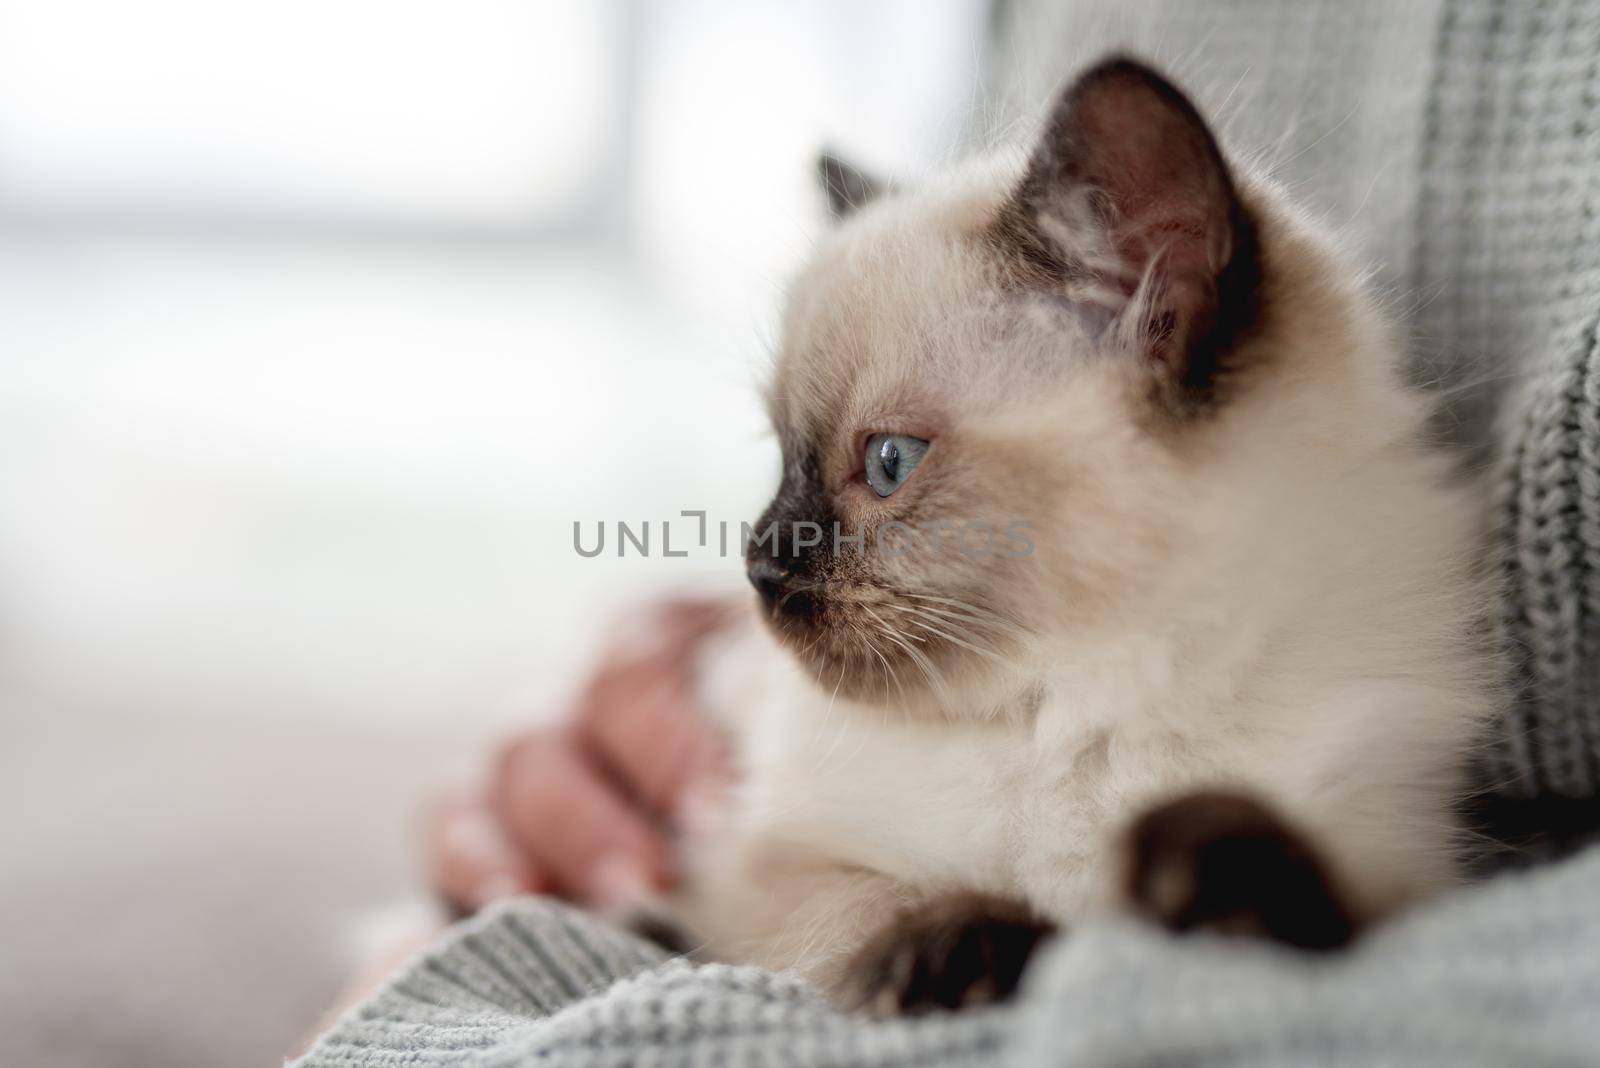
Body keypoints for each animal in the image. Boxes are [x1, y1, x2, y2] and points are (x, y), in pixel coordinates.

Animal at [656, 54, 1491, 1016]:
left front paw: (1200, 887)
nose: (758, 568)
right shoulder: (774, 863)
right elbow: (880, 905)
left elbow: (1307, 892)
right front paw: (960, 953)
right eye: (779, 457)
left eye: (889, 463)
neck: (1092, 693)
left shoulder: (1398, 865)